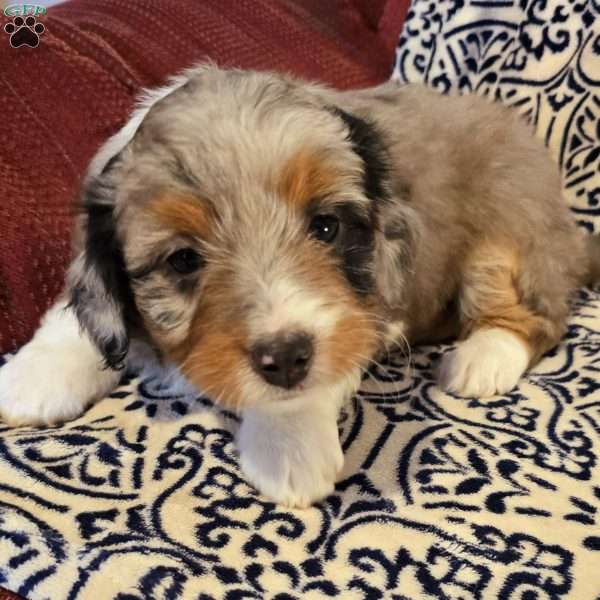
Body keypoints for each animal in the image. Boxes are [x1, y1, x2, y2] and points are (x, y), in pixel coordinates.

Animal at [1, 65, 600, 506]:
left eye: (326, 227)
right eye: (183, 260)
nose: (286, 356)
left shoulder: (364, 307)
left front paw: (286, 451)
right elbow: (75, 315)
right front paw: (32, 378)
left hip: (510, 233)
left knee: (537, 315)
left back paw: (482, 359)